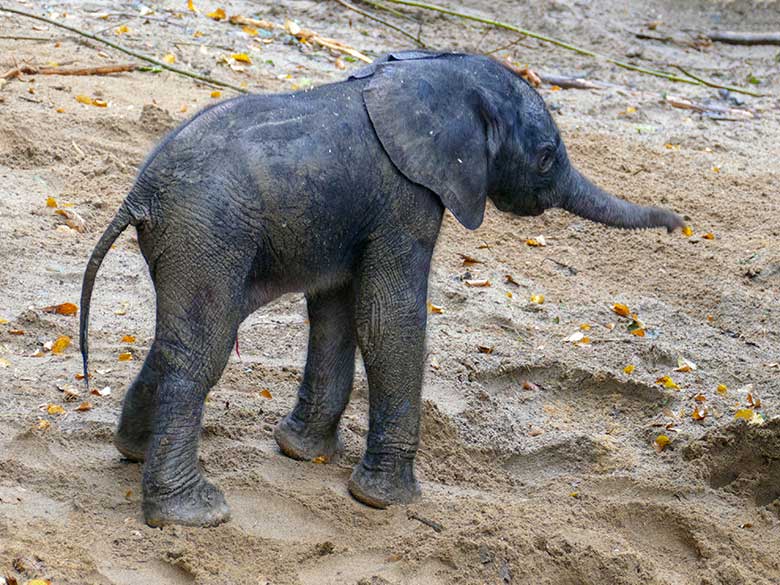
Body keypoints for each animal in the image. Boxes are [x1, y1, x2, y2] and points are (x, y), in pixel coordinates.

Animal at [76, 49, 680, 524]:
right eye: (547, 157)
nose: (678, 226)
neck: (430, 74)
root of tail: (141, 194)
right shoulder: (406, 200)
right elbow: (389, 316)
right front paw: (386, 502)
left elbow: (338, 310)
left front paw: (302, 454)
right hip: (209, 234)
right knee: (203, 353)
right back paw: (193, 515)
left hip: (193, 241)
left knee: (181, 340)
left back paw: (132, 453)